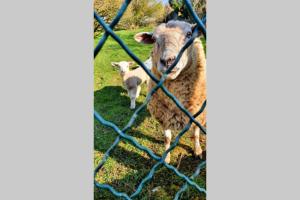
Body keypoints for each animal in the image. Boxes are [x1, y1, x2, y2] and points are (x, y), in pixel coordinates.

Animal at [134, 20, 206, 163]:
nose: (168, 61)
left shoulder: (197, 114)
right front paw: (166, 157)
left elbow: (196, 134)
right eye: (154, 39)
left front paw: (198, 151)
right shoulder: (164, 116)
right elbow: (167, 139)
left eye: (189, 34)